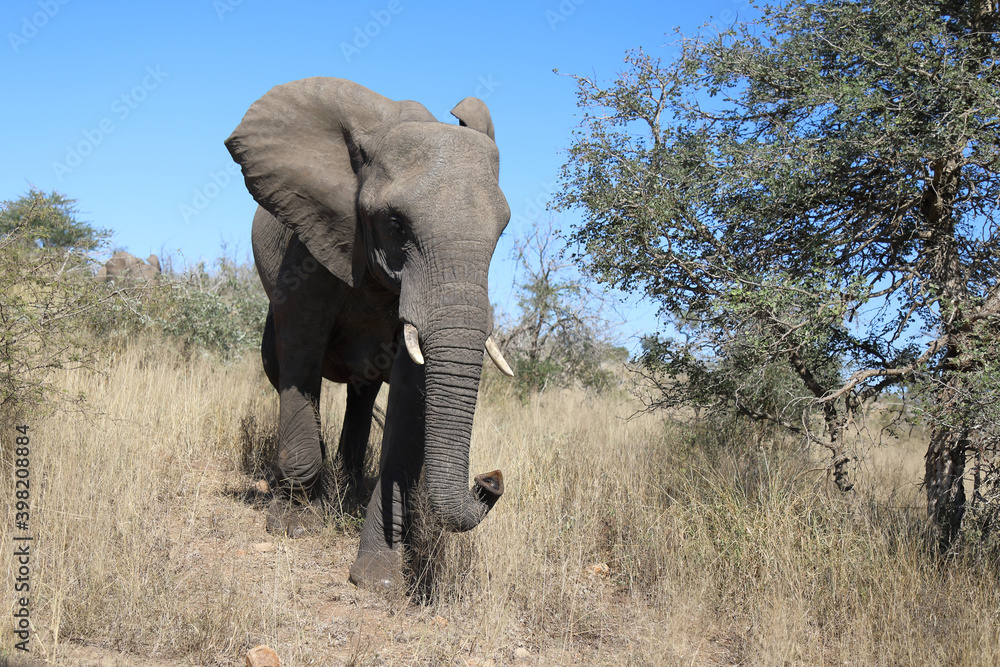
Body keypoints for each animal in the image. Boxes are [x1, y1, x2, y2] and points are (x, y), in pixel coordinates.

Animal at [225, 77, 514, 587]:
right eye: (395, 224)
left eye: (501, 232)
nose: (490, 479)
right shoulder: (310, 243)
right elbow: (300, 349)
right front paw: (294, 524)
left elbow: (410, 388)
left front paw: (378, 577)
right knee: (282, 369)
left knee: (363, 393)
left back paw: (350, 488)